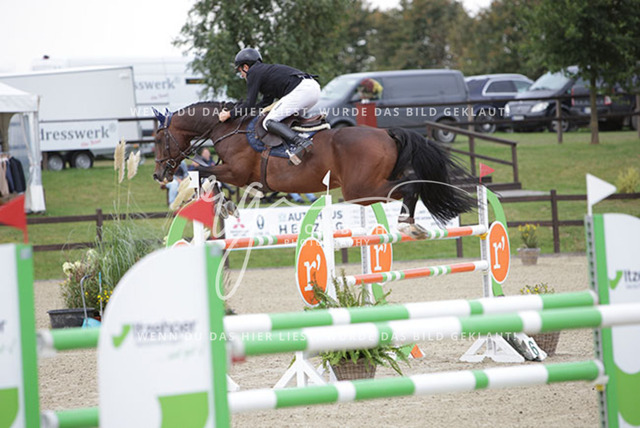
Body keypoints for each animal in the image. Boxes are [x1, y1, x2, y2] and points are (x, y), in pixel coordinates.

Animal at [152, 101, 475, 235]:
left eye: (156, 139)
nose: (158, 175)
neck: (227, 128)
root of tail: (386, 133)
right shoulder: (238, 175)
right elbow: (207, 177)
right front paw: (224, 205)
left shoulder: (237, 172)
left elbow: (205, 174)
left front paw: (225, 205)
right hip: (368, 186)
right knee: (411, 183)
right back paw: (413, 223)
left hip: (359, 189)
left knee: (409, 185)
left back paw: (409, 224)